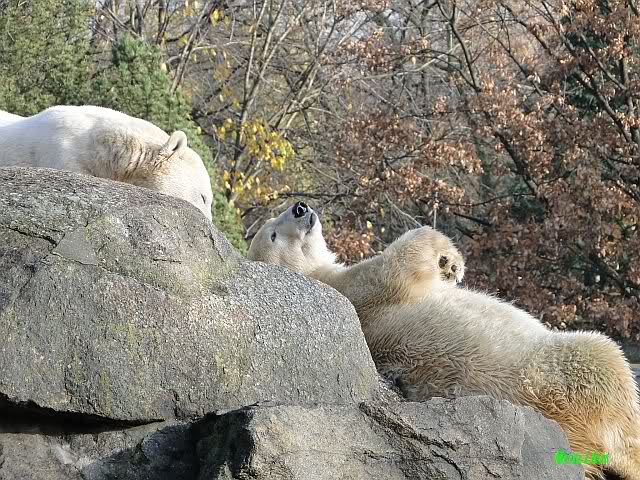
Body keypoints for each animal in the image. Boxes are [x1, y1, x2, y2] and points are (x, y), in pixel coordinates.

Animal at [248, 201, 640, 480]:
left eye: (274, 225)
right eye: (273, 235)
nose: (300, 207)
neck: (319, 278)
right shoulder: (359, 293)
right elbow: (399, 263)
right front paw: (448, 260)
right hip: (572, 369)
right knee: (606, 360)